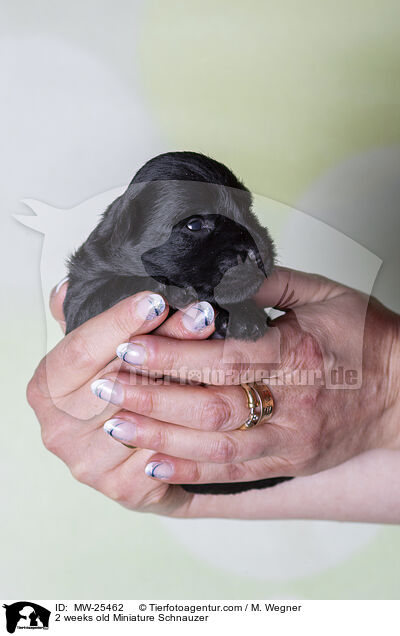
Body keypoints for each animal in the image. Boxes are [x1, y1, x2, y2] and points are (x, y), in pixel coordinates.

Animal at [64, 152, 292, 494]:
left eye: (248, 209)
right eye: (194, 224)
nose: (258, 251)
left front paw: (245, 316)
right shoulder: (83, 297)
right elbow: (125, 286)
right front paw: (182, 295)